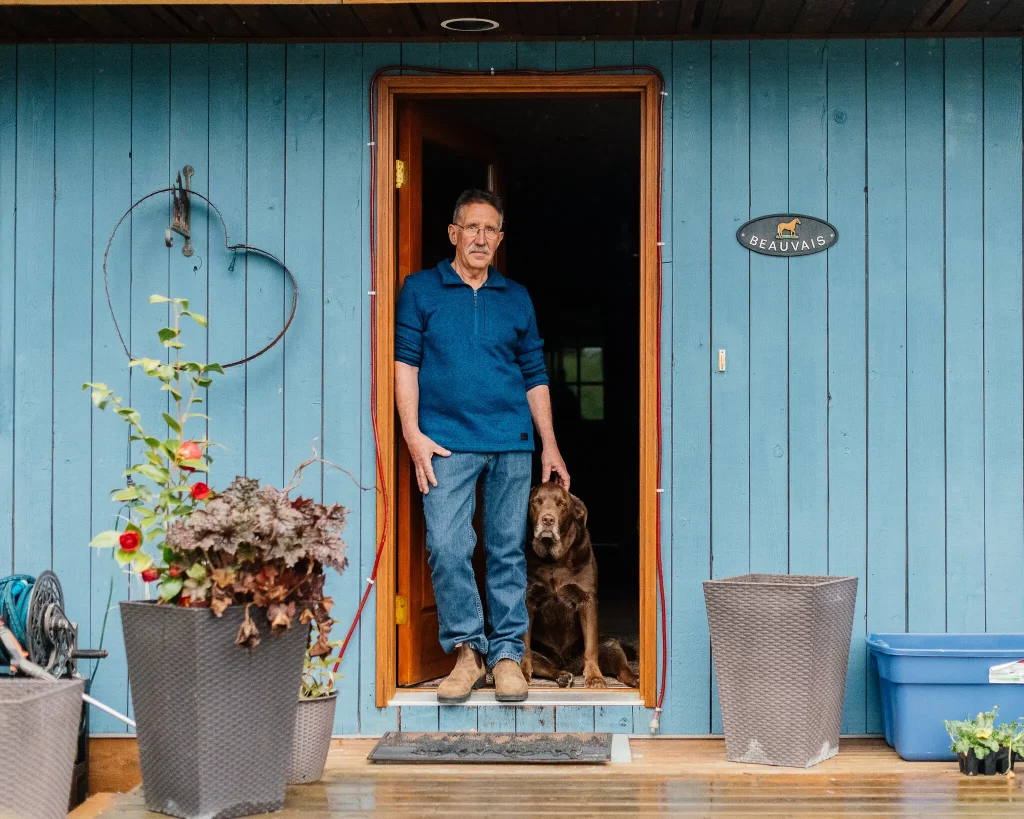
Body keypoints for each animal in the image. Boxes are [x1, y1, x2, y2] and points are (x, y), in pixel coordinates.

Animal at [524, 483, 634, 687]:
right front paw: (522, 672)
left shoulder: (586, 600)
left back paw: (636, 678)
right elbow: (524, 645)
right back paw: (562, 676)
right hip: (544, 657)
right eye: (536, 502)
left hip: (609, 643)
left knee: (621, 669)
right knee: (545, 664)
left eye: (561, 504)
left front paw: (595, 677)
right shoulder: (528, 600)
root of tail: (567, 664)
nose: (548, 520)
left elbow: (590, 648)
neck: (554, 560)